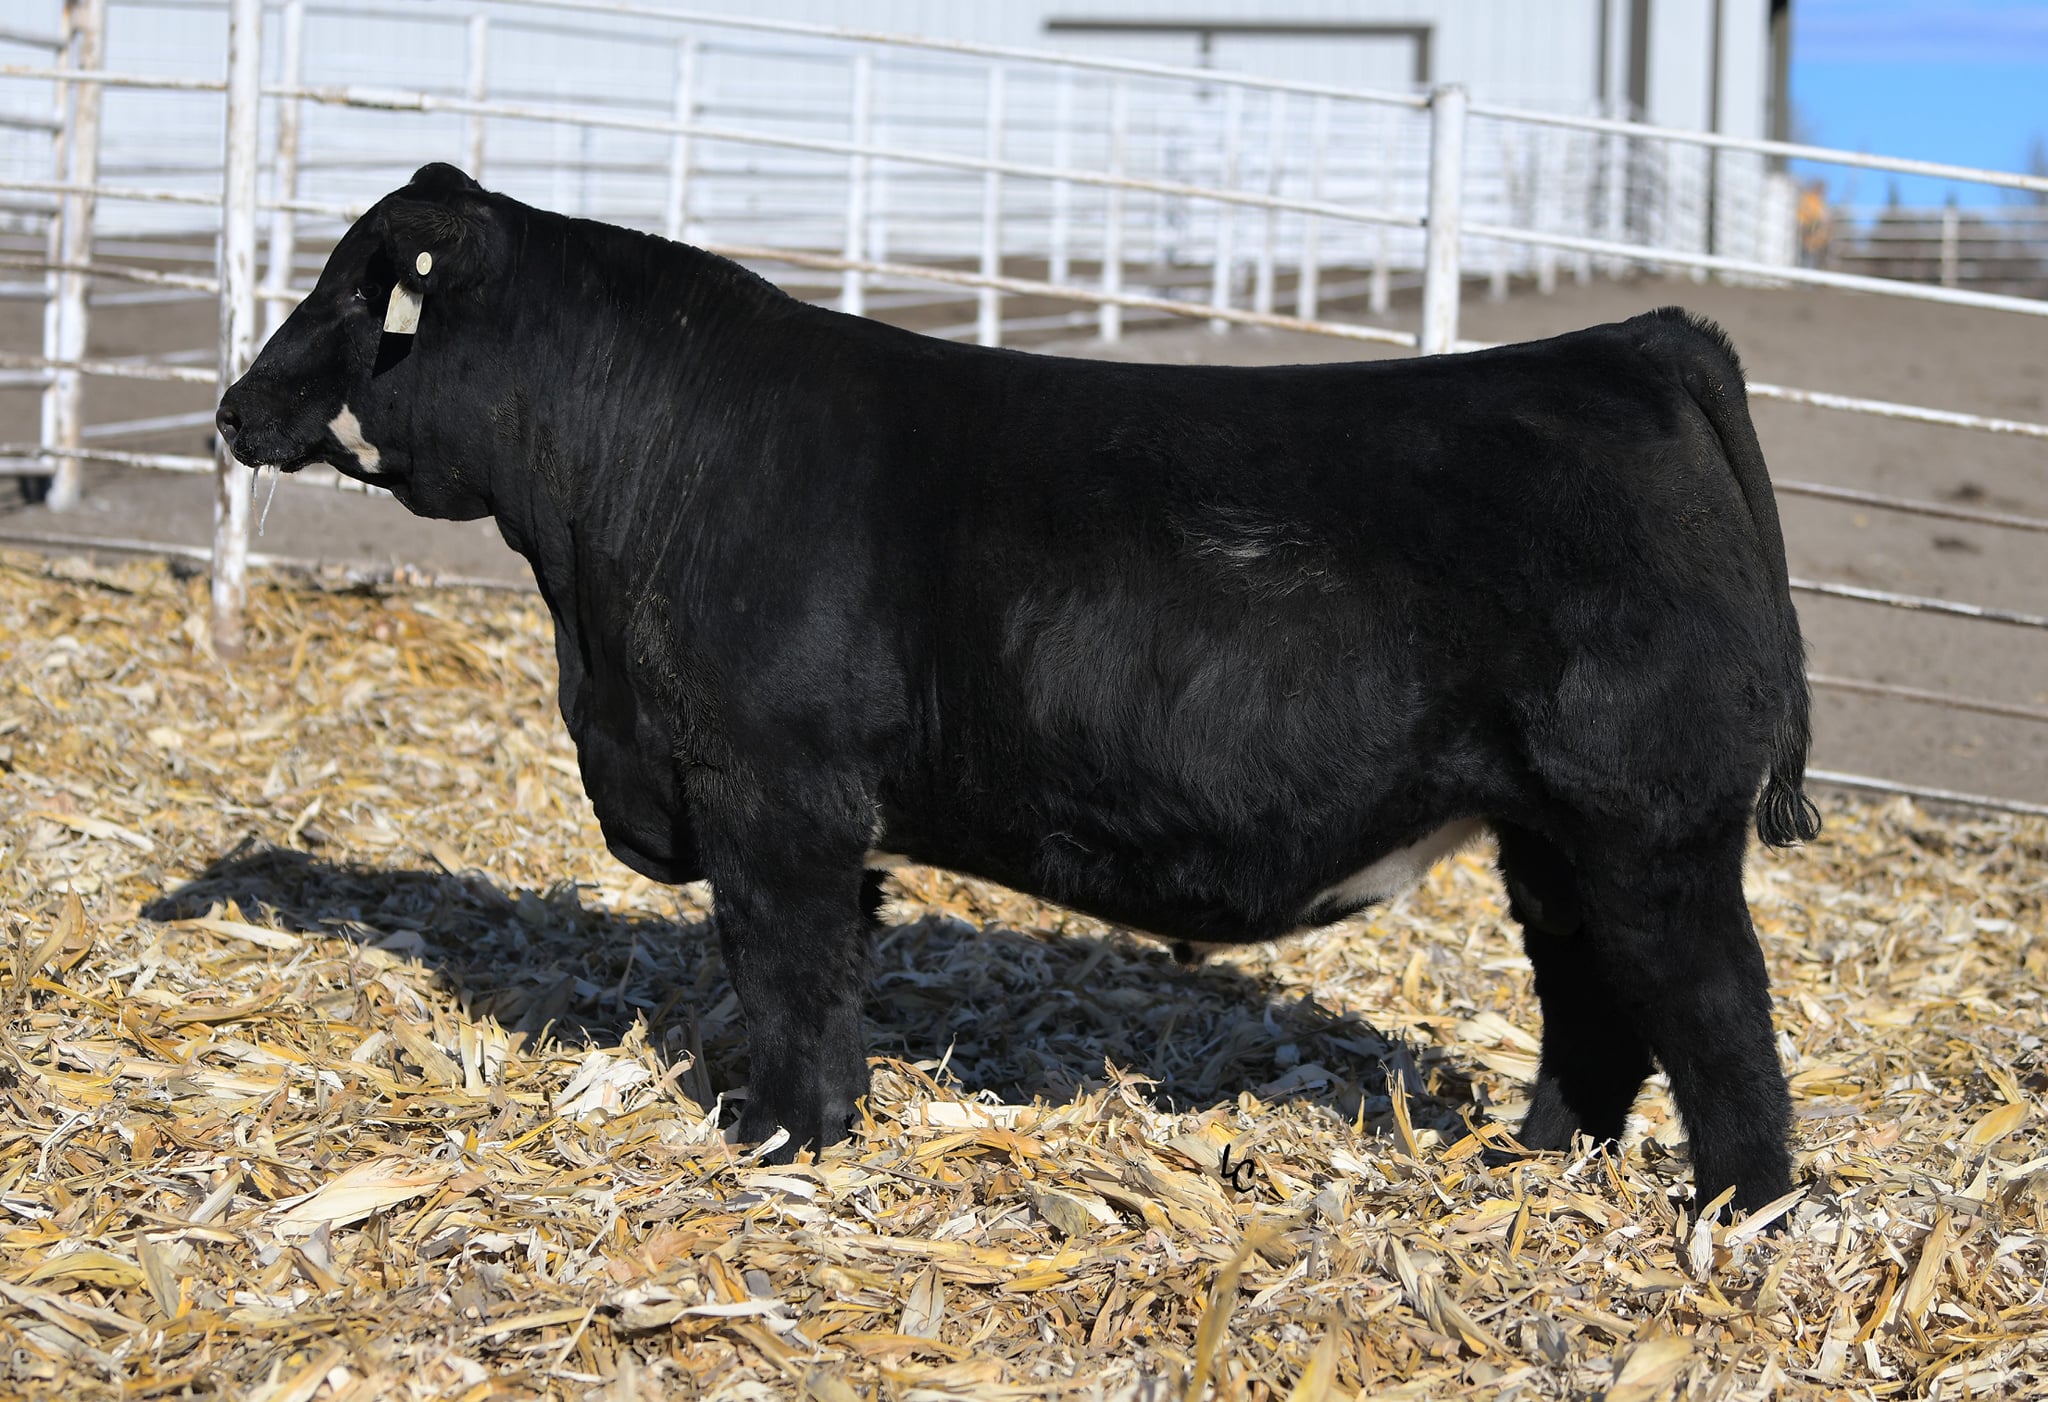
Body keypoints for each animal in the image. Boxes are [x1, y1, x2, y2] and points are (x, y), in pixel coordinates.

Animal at [217, 164, 1820, 1213]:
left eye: (360, 291)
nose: (233, 407)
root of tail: (1634, 345)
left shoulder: (771, 787)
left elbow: (786, 969)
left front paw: (785, 1136)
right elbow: (818, 971)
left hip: (1651, 826)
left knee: (1715, 1013)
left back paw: (1732, 1212)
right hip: (1554, 830)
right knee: (1593, 1002)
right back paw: (1536, 1157)